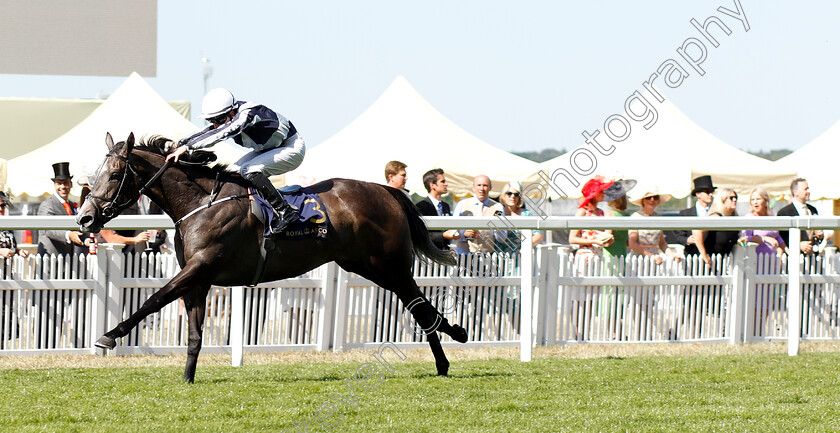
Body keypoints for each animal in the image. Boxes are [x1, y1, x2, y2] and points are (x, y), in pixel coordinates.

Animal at [75, 132, 470, 382]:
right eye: (94, 174)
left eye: (114, 174)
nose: (85, 218)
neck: (200, 203)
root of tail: (387, 190)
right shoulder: (198, 278)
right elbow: (194, 334)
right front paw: (187, 379)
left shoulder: (200, 266)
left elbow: (153, 300)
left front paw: (108, 336)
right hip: (365, 264)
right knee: (418, 305)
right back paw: (451, 343)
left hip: (387, 264)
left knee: (419, 306)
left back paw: (448, 353)